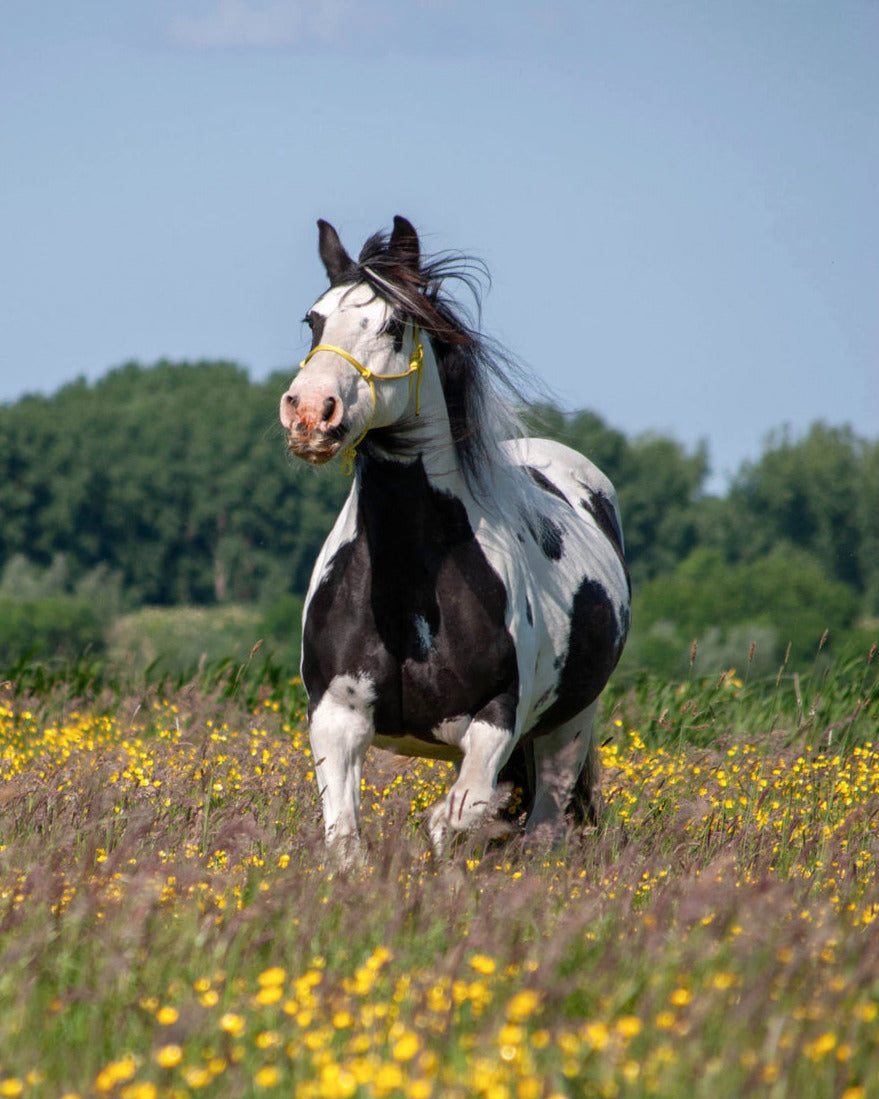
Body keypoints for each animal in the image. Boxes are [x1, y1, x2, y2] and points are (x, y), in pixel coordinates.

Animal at [279, 216, 631, 857]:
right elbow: (346, 842)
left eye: (394, 325)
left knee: (545, 826)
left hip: (568, 725)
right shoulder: (334, 719)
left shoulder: (496, 719)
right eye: (313, 320)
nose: (310, 413)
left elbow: (458, 815)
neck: (409, 590)